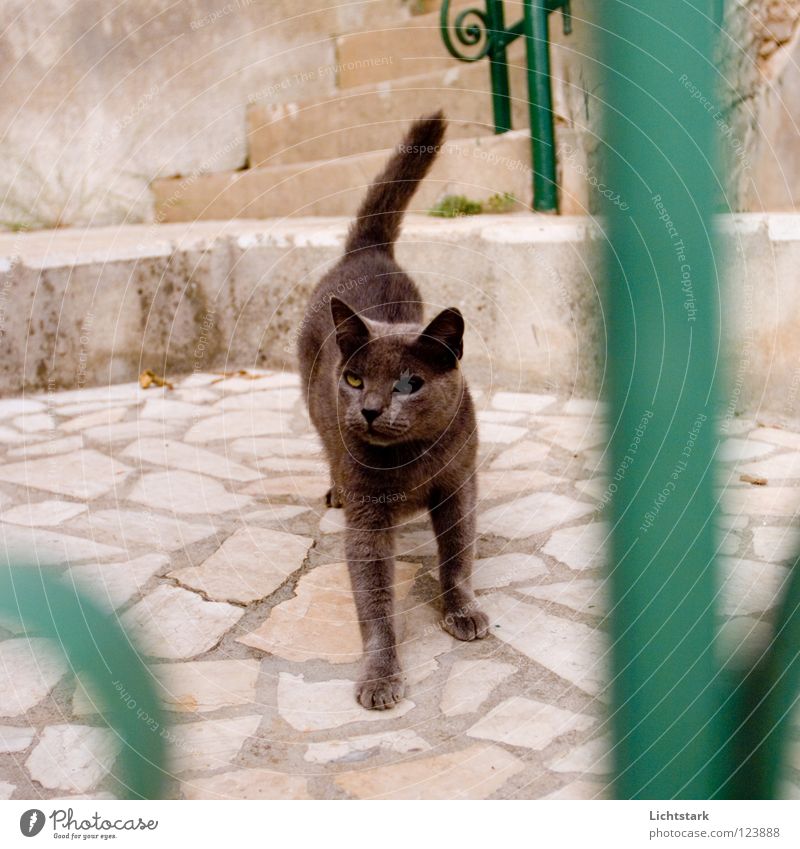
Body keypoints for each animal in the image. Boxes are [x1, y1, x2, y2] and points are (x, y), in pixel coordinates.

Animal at [298, 112, 490, 708]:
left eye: (410, 383)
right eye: (355, 378)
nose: (369, 409)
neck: (413, 461)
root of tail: (368, 250)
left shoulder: (458, 484)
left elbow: (457, 555)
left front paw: (463, 611)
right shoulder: (367, 520)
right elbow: (374, 600)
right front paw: (381, 677)